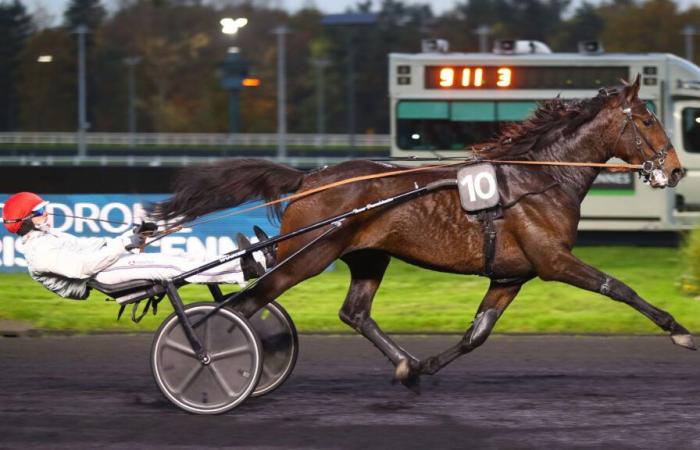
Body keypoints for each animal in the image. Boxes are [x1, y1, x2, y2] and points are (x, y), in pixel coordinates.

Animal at [154, 77, 688, 390]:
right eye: (647, 119)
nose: (677, 170)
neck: (538, 180)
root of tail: (310, 178)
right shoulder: (554, 262)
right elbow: (619, 287)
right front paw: (680, 331)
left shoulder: (511, 275)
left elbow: (477, 334)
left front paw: (425, 367)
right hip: (306, 256)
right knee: (243, 306)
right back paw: (212, 363)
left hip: (368, 256)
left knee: (352, 312)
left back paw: (403, 363)